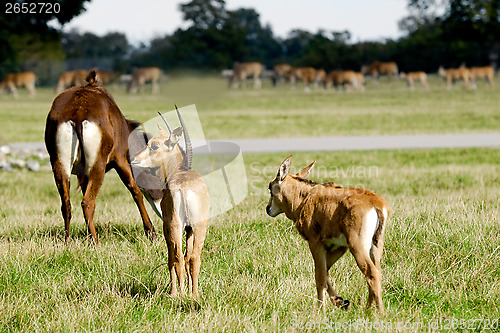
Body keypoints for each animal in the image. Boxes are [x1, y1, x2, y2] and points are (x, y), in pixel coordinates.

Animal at [44, 69, 156, 244]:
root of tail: (77, 114)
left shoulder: (82, 173)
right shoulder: (121, 159)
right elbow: (135, 190)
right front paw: (151, 232)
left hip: (58, 163)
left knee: (66, 203)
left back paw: (69, 240)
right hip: (98, 164)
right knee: (87, 202)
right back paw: (95, 242)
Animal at [131, 109, 209, 298]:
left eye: (154, 145)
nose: (134, 158)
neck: (178, 172)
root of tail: (185, 187)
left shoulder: (167, 225)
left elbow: (171, 258)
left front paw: (174, 291)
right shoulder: (189, 229)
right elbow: (188, 257)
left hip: (174, 226)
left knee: (177, 257)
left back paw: (177, 294)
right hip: (198, 227)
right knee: (193, 257)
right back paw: (194, 294)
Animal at [266, 156, 390, 312]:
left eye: (270, 187)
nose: (268, 209)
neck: (306, 196)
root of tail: (376, 203)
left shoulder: (315, 243)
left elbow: (319, 275)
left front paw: (320, 309)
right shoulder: (339, 247)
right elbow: (325, 272)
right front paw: (341, 301)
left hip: (357, 247)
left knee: (371, 273)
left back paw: (379, 312)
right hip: (375, 247)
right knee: (376, 272)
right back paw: (367, 308)